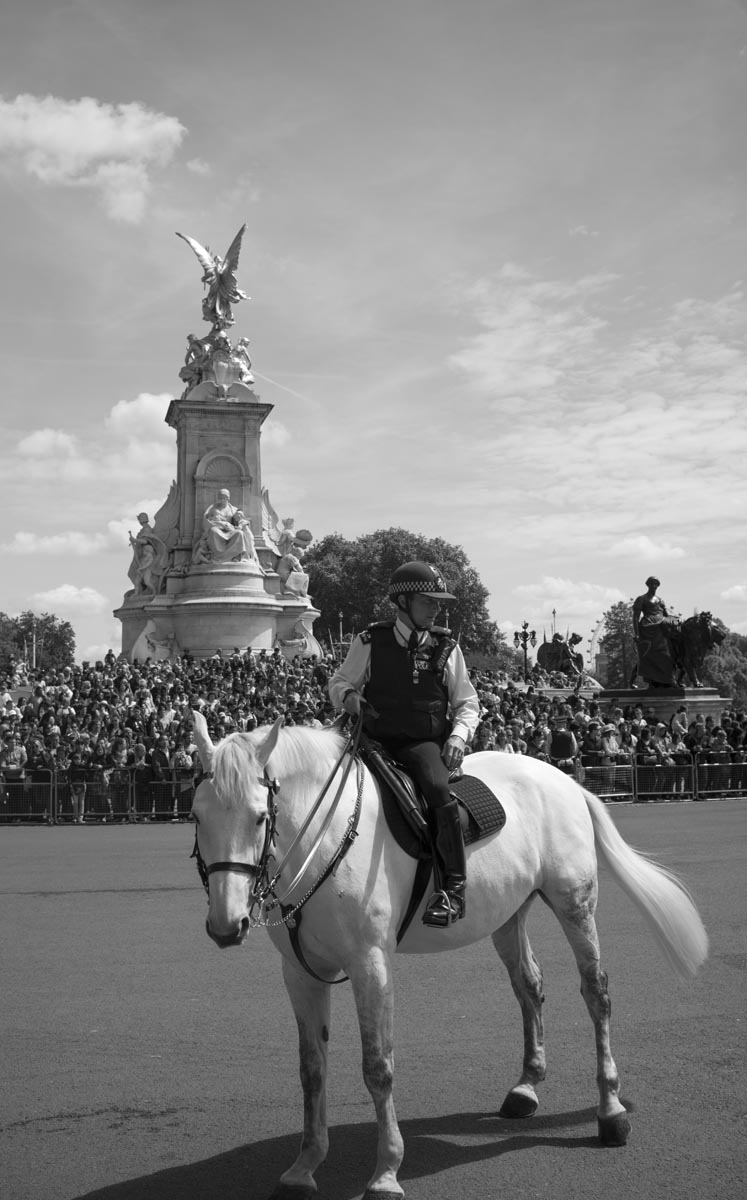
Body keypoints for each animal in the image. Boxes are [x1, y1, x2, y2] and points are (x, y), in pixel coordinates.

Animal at [189, 710, 710, 1200]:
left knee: (595, 993)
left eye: (260, 816)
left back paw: (611, 1112)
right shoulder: (301, 972)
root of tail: (563, 779)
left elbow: (377, 1067)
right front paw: (304, 1167)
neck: (323, 838)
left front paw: (386, 1173)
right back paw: (526, 1086)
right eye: (197, 815)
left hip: (574, 904)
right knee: (530, 986)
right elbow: (311, 1070)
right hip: (507, 914)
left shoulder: (371, 964)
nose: (226, 924)